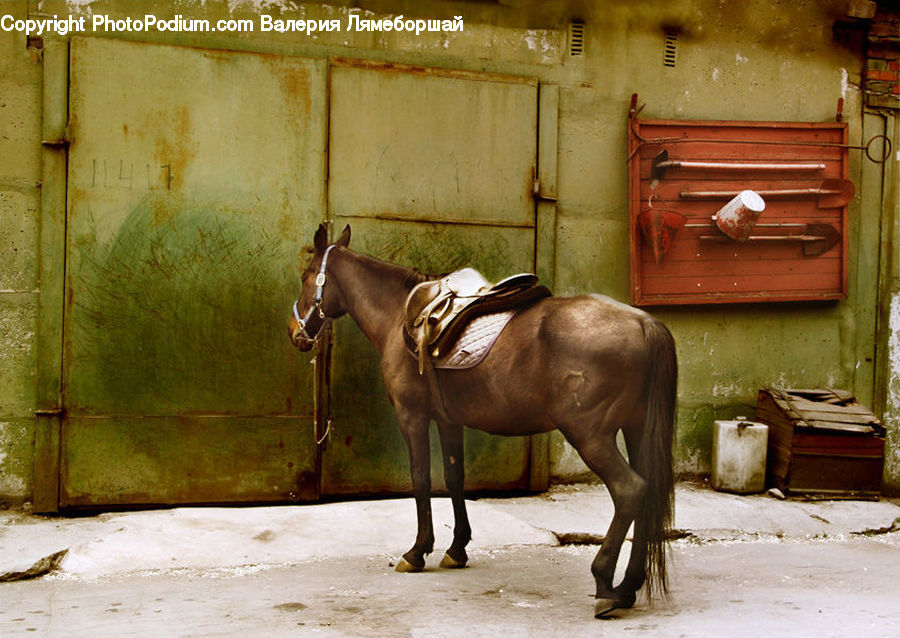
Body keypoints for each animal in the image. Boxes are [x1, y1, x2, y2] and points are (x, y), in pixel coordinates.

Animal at [288, 224, 677, 618]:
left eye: (306, 276)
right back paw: (627, 587)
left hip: (590, 435)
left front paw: (417, 551)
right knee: (648, 491)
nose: (295, 333)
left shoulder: (412, 416)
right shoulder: (448, 420)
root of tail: (644, 322)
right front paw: (457, 548)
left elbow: (421, 478)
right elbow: (454, 477)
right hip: (636, 428)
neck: (401, 316)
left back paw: (604, 583)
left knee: (630, 490)